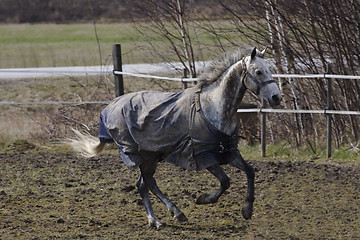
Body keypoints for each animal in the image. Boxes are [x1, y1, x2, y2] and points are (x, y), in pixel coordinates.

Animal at [67, 47, 282, 228]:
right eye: (258, 72)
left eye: (269, 70)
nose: (276, 98)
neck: (212, 107)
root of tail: (109, 107)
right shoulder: (205, 156)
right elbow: (225, 182)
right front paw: (203, 199)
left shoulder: (229, 152)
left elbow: (250, 172)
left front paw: (247, 210)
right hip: (145, 158)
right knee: (149, 184)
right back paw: (173, 215)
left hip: (151, 156)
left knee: (143, 185)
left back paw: (157, 220)